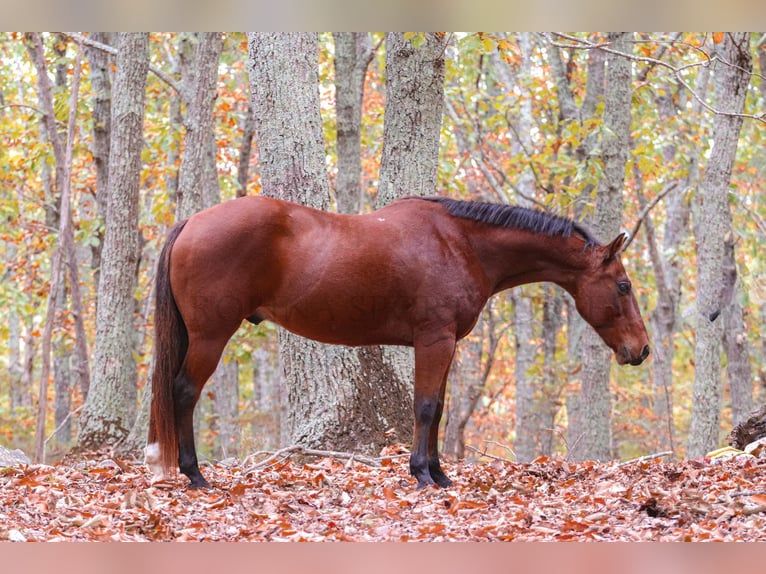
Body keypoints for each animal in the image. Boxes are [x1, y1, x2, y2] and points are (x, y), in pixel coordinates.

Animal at [147, 198, 652, 490]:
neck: (460, 242)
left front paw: (441, 475)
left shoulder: (446, 344)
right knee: (183, 392)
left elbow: (440, 409)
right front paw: (422, 475)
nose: (642, 350)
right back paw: (194, 475)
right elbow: (425, 407)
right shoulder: (434, 341)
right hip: (210, 337)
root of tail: (192, 222)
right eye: (623, 286)